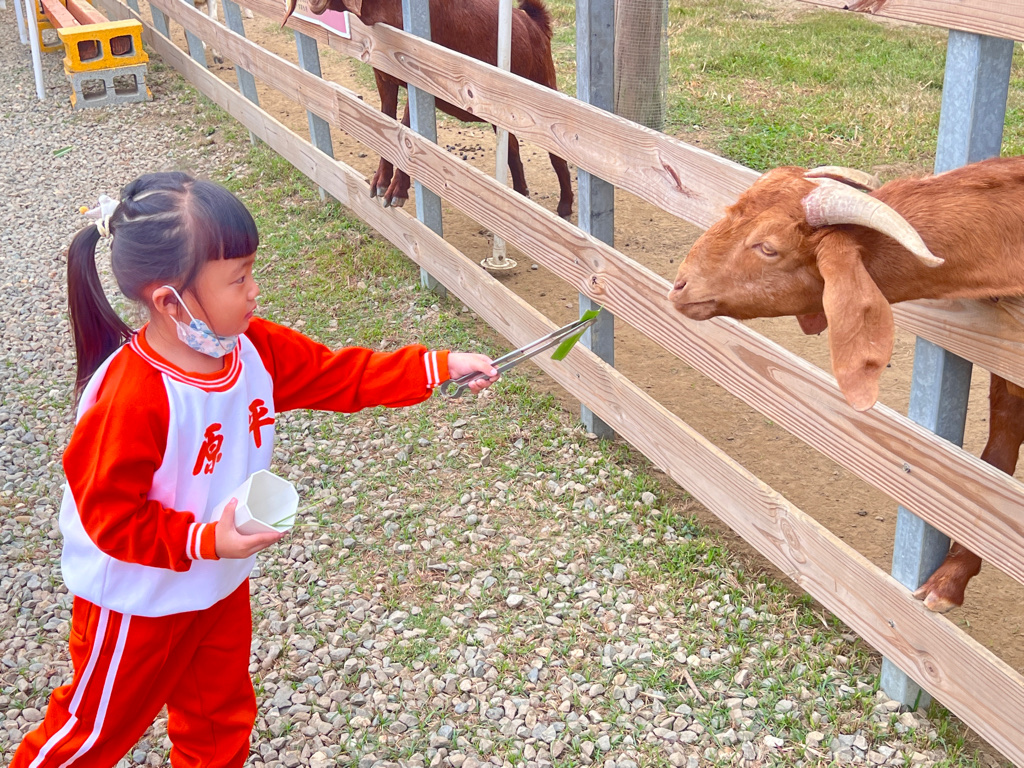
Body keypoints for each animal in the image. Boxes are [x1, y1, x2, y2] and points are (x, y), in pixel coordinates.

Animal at [281, 0, 573, 219]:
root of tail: (534, 22)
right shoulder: (383, 70)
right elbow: (386, 121)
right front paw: (380, 183)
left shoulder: (419, 74)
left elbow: (406, 127)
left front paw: (396, 192)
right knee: (512, 147)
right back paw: (520, 193)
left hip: (542, 84)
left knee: (557, 151)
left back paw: (565, 206)